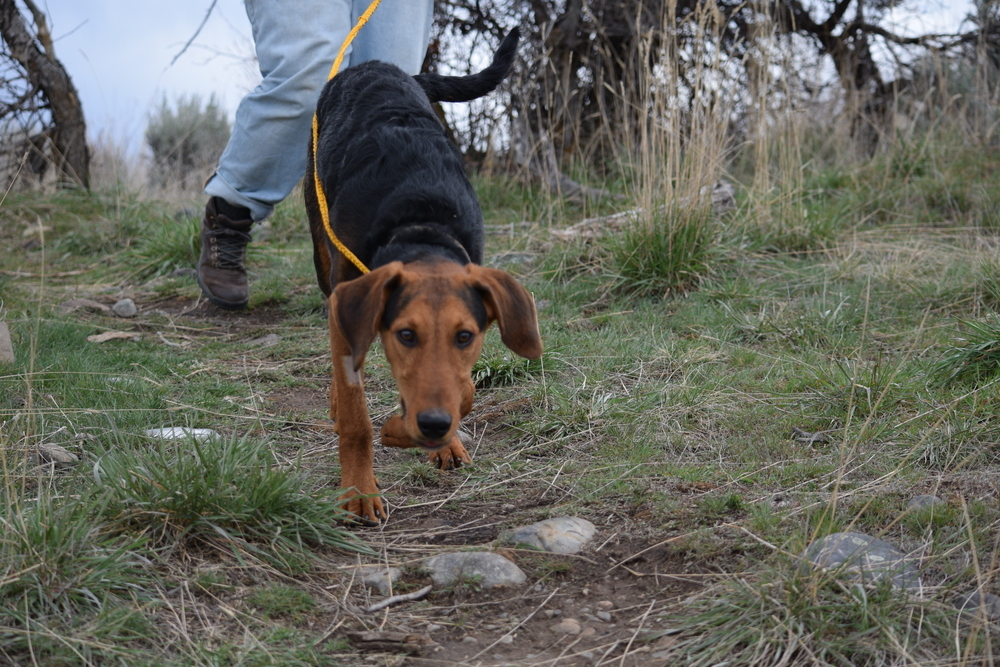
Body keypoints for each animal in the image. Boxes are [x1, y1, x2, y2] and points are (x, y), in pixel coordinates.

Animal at [304, 28, 544, 524]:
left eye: (465, 336)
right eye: (406, 335)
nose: (433, 425)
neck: (421, 222)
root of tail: (379, 67)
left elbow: (464, 387)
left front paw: (435, 439)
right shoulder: (347, 296)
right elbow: (356, 414)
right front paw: (359, 490)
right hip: (321, 250)